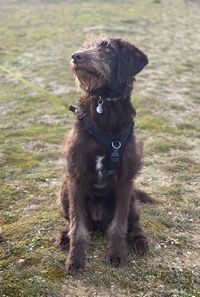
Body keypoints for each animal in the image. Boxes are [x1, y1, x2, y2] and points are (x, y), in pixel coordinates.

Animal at [57, 35, 152, 272]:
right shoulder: (76, 177)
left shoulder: (125, 181)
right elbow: (77, 227)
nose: (76, 56)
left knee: (134, 223)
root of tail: (99, 221)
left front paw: (117, 254)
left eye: (107, 48)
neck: (104, 104)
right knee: (74, 222)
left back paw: (139, 241)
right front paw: (75, 258)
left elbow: (119, 226)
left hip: (132, 199)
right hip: (64, 191)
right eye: (87, 45)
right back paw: (64, 236)